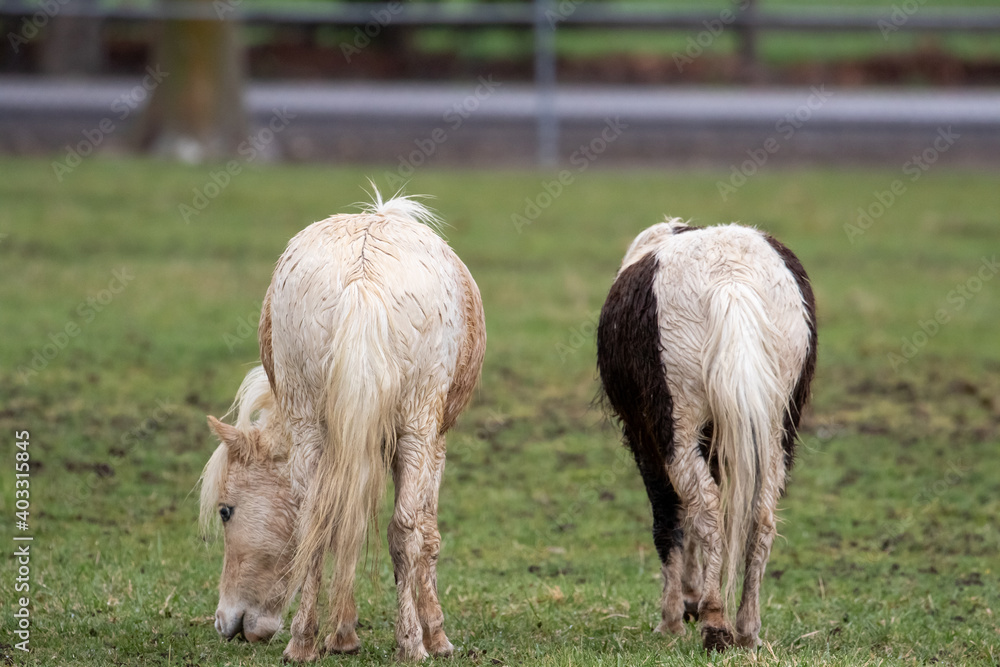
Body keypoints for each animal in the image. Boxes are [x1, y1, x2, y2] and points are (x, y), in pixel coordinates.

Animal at [199, 193, 486, 662]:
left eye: (226, 510)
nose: (227, 624)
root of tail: (362, 278)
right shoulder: (432, 440)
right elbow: (424, 533)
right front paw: (436, 636)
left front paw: (343, 634)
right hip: (417, 428)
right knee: (403, 530)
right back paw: (412, 643)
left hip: (313, 425)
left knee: (316, 524)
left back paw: (302, 643)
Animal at [596, 218, 817, 651]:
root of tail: (730, 280)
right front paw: (691, 599)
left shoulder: (645, 440)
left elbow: (669, 519)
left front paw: (675, 616)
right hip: (776, 430)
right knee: (759, 515)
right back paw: (746, 628)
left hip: (674, 426)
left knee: (705, 509)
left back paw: (714, 620)